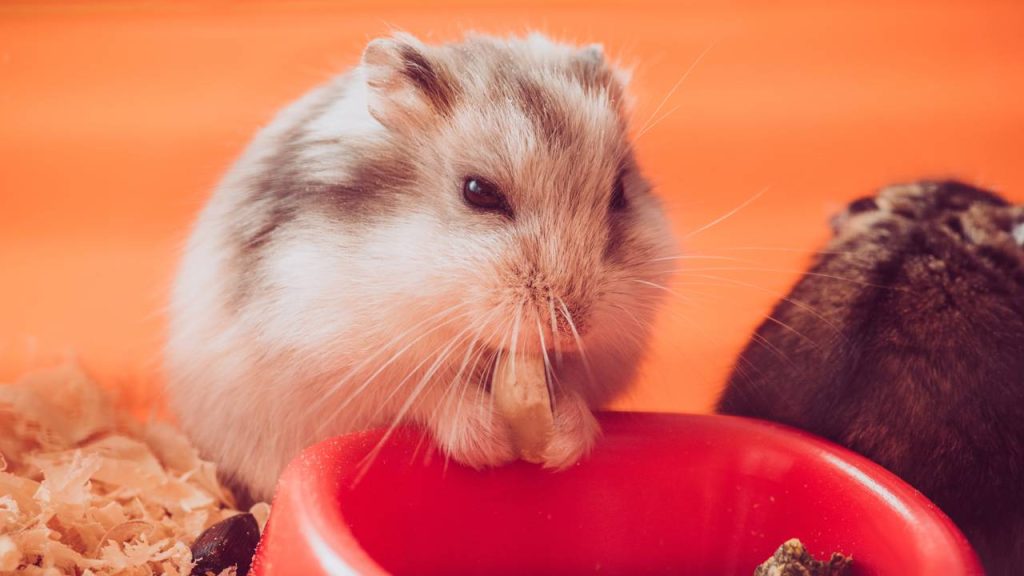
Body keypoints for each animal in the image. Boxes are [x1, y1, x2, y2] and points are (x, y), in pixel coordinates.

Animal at [165, 32, 677, 501]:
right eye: (478, 191)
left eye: (619, 195)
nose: (571, 329)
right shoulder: (337, 362)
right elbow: (428, 392)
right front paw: (490, 448)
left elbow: (574, 389)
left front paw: (561, 447)